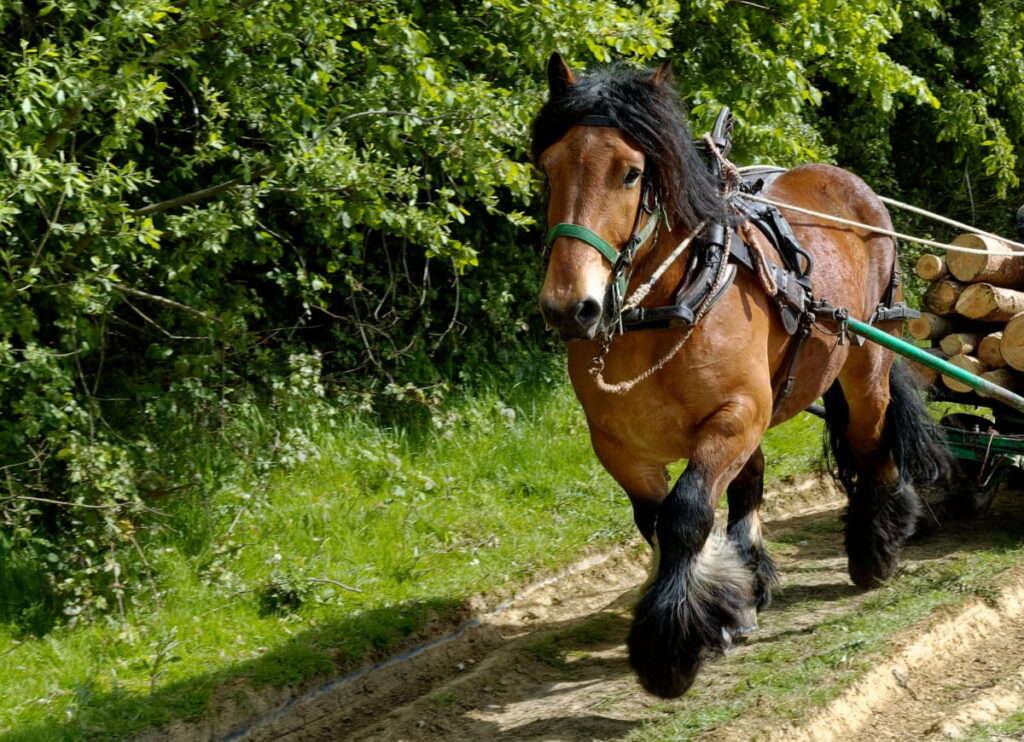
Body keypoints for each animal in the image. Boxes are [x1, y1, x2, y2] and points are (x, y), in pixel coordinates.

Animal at [532, 55, 946, 695]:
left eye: (630, 174)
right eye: (550, 168)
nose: (569, 307)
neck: (665, 307)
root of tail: (848, 181)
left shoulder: (736, 414)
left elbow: (684, 514)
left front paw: (669, 650)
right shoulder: (619, 446)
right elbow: (656, 520)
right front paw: (723, 607)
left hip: (865, 363)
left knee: (871, 443)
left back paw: (876, 547)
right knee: (752, 479)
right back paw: (753, 582)